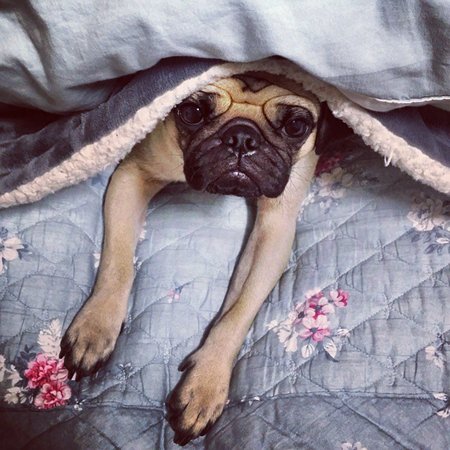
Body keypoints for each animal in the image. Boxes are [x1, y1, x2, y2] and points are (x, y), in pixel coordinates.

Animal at [60, 72, 342, 445]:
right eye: (192, 112)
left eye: (296, 125)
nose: (242, 138)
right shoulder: (131, 176)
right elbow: (117, 263)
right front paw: (96, 326)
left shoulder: (274, 230)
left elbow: (235, 315)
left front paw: (205, 380)